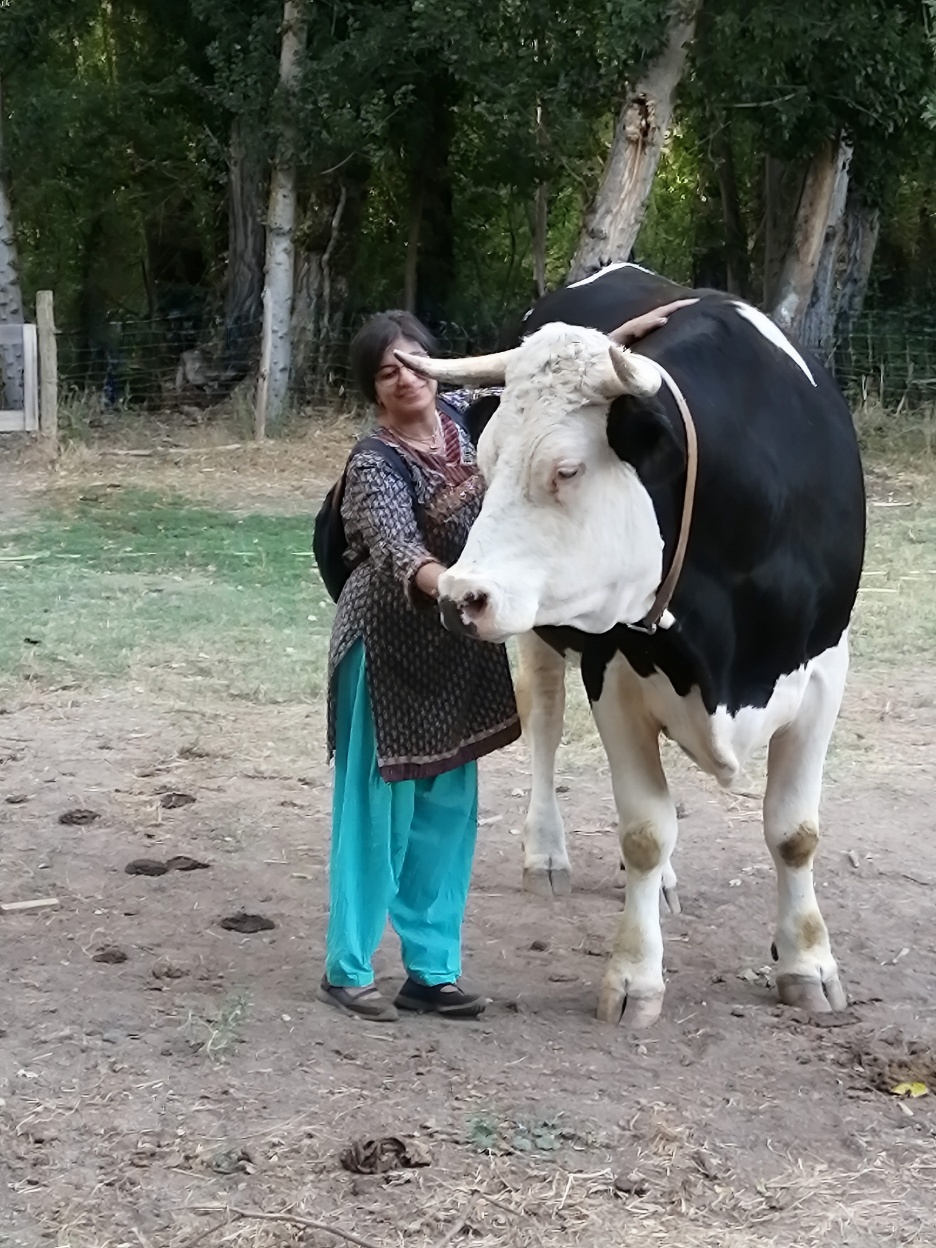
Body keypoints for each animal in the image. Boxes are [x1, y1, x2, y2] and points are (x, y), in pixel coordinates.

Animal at [396, 262, 867, 1028]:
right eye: (487, 461)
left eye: (566, 470)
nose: (459, 595)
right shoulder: (610, 672)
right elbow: (645, 830)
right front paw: (635, 977)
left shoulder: (824, 671)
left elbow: (795, 831)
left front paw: (808, 963)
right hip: (542, 640)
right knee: (545, 724)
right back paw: (547, 855)